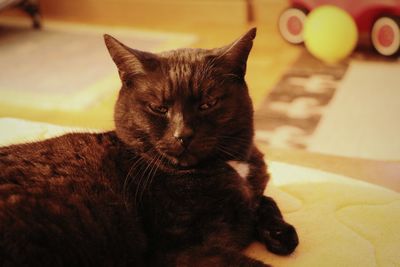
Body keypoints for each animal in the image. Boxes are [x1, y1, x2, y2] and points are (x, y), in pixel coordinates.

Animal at [0, 28, 296, 266]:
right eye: (158, 108)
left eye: (207, 104)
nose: (182, 134)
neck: (230, 167)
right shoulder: (183, 251)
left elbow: (265, 199)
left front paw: (281, 233)